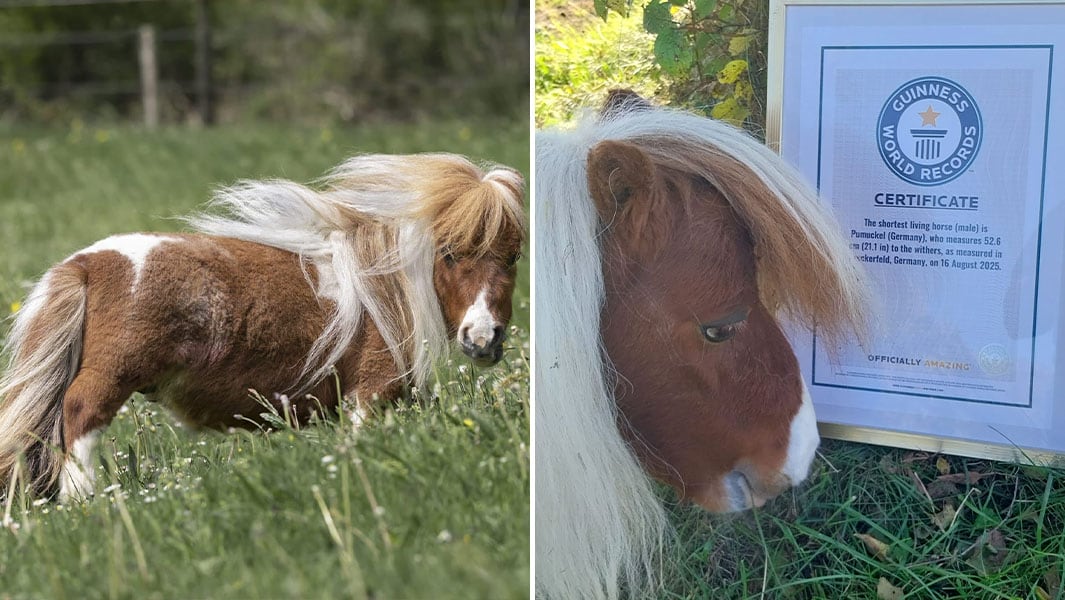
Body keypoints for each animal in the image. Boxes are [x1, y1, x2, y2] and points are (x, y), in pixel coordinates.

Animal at [0, 153, 525, 502]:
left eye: (513, 256)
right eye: (450, 254)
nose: (484, 338)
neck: (384, 289)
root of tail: (86, 264)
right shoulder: (370, 394)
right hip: (109, 379)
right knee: (79, 419)